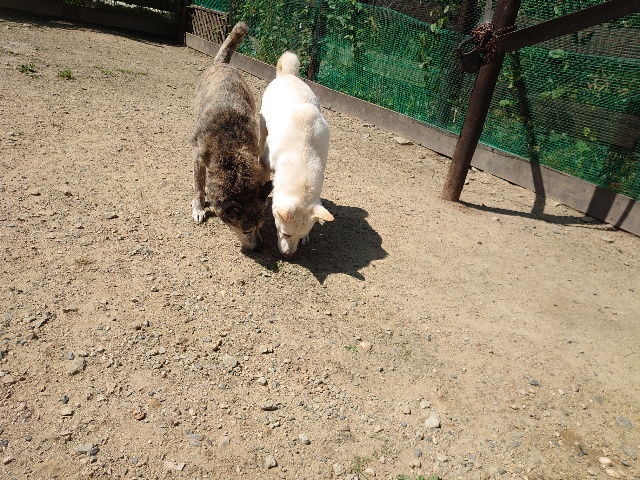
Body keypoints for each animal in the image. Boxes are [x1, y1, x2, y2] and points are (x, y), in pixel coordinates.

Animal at [191, 22, 272, 251]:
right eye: (246, 230)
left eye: (261, 226)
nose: (259, 246)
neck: (231, 153)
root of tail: (222, 64)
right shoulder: (198, 159)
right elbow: (199, 187)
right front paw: (199, 207)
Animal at [259, 51, 333, 257]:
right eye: (285, 233)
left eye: (300, 236)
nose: (288, 256)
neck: (303, 157)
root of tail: (288, 76)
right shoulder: (267, 162)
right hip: (262, 124)